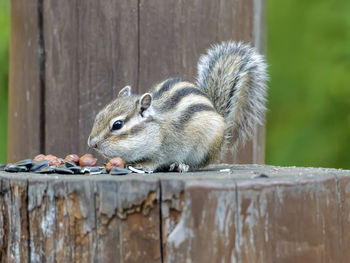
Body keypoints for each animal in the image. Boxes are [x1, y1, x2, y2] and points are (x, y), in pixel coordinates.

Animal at [88, 41, 268, 173]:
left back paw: (181, 165)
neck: (156, 128)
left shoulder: (167, 148)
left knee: (198, 164)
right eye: (98, 116)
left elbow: (156, 160)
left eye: (117, 125)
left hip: (205, 147)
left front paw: (144, 166)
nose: (92, 144)